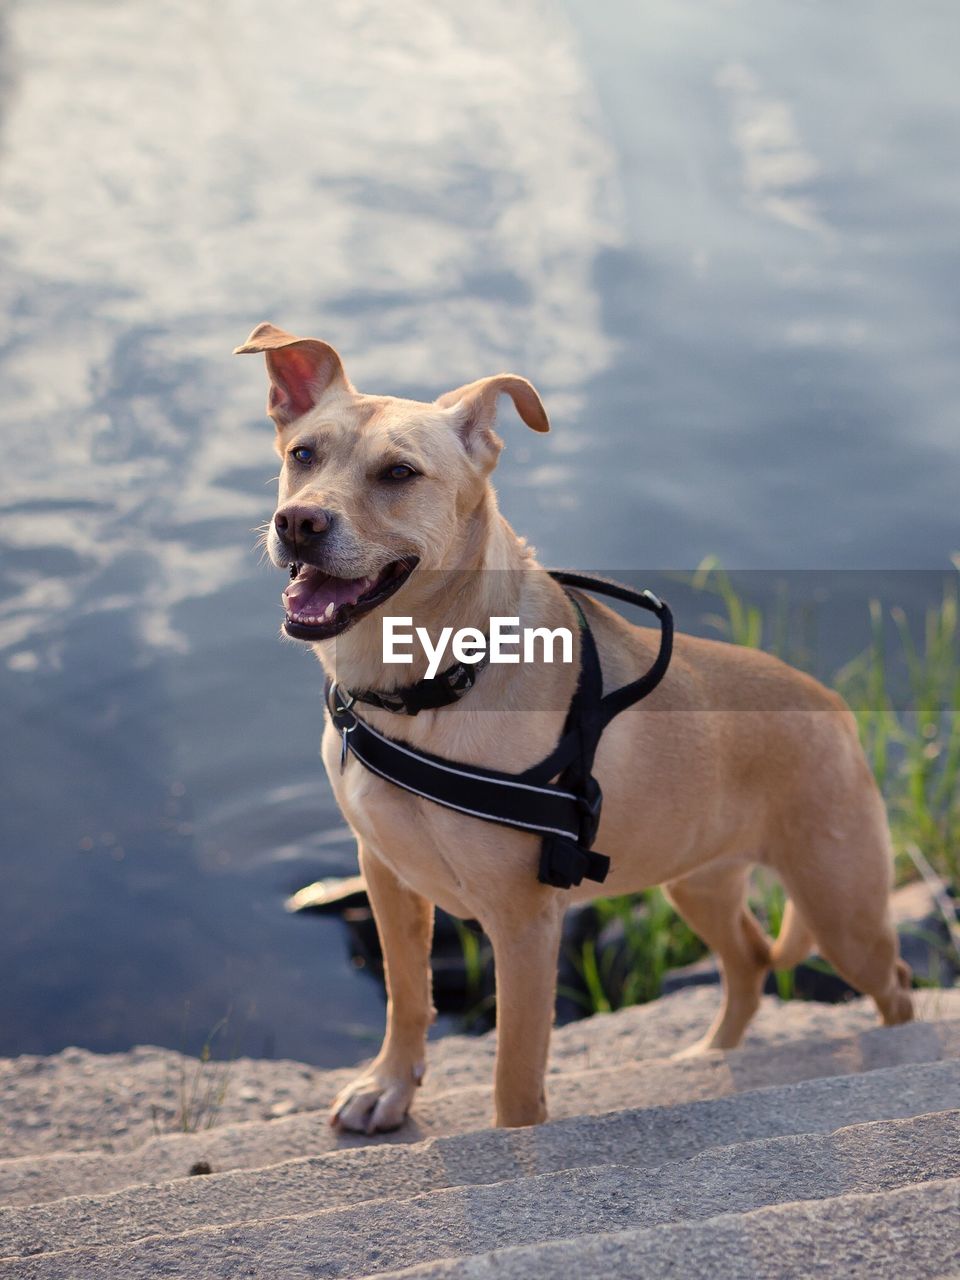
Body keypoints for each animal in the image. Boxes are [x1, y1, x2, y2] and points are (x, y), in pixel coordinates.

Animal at [236, 320, 911, 1131]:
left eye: (398, 473)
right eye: (303, 454)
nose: (299, 522)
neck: (431, 682)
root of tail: (834, 705)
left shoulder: (524, 924)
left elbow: (515, 1074)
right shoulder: (387, 876)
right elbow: (407, 998)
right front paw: (388, 1087)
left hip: (841, 906)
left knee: (894, 984)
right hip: (699, 879)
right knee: (748, 964)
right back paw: (708, 1057)